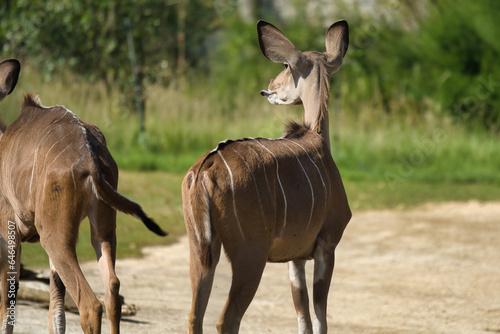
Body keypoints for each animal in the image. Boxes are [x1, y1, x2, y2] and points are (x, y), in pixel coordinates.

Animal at [0, 58, 168, 332]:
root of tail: (90, 158)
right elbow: (56, 312)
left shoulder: (8, 229)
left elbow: (8, 305)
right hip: (103, 228)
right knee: (112, 291)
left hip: (54, 235)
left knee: (90, 304)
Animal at [183, 20, 352, 334]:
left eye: (286, 66)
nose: (268, 89)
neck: (317, 139)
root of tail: (204, 172)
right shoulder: (327, 243)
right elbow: (319, 314)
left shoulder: (295, 257)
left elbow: (302, 313)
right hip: (250, 254)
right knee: (226, 319)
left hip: (200, 247)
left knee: (194, 315)